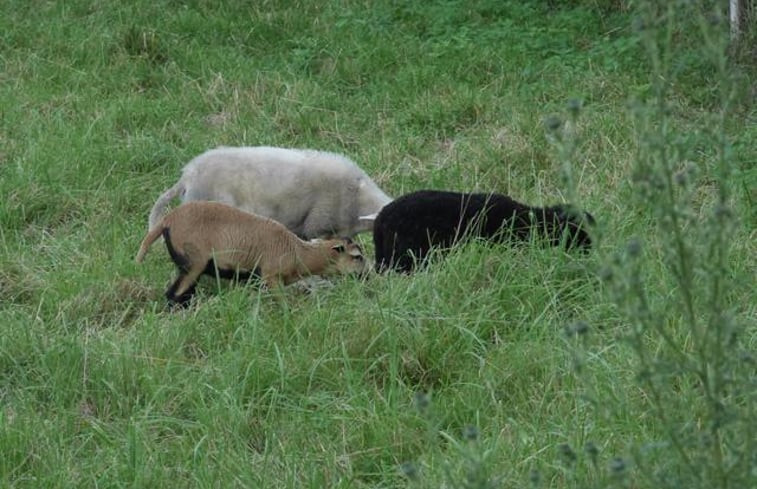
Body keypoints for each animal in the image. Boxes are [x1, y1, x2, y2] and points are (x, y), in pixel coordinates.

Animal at [139, 200, 372, 304]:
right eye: (357, 256)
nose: (368, 276)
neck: (299, 252)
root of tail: (167, 220)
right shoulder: (271, 276)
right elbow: (283, 303)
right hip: (194, 262)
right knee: (174, 295)